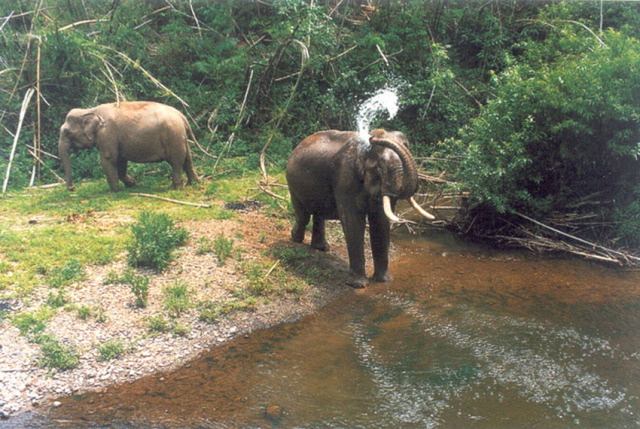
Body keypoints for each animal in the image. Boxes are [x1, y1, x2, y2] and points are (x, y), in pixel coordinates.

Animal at [60, 100, 200, 191]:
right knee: (187, 159)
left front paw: (113, 191)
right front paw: (132, 184)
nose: (73, 188)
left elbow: (107, 160)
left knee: (177, 162)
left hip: (173, 137)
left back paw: (175, 188)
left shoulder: (107, 135)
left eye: (67, 133)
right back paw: (193, 183)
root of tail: (181, 116)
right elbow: (121, 162)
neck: (90, 110)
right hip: (180, 137)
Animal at [286, 129, 432, 286]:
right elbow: (353, 222)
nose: (374, 136)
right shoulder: (345, 180)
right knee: (304, 216)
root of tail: (298, 145)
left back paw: (321, 248)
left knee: (319, 214)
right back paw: (296, 239)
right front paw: (358, 285)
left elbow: (381, 223)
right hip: (293, 183)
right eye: (382, 166)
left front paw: (384, 281)